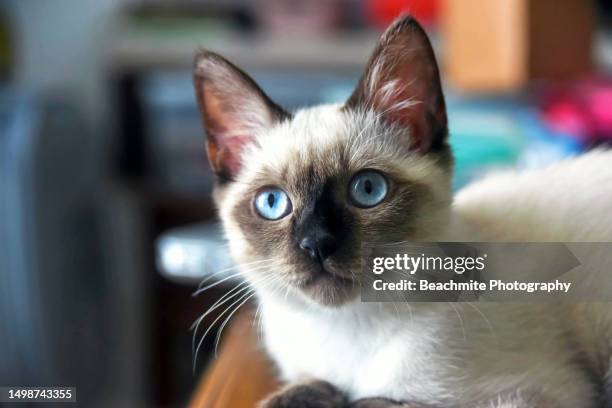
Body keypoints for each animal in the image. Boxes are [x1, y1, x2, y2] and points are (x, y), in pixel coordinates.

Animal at [192, 15, 612, 408]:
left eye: (367, 190)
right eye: (273, 203)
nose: (317, 244)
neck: (345, 332)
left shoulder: (532, 394)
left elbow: (373, 401)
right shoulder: (309, 373)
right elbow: (304, 389)